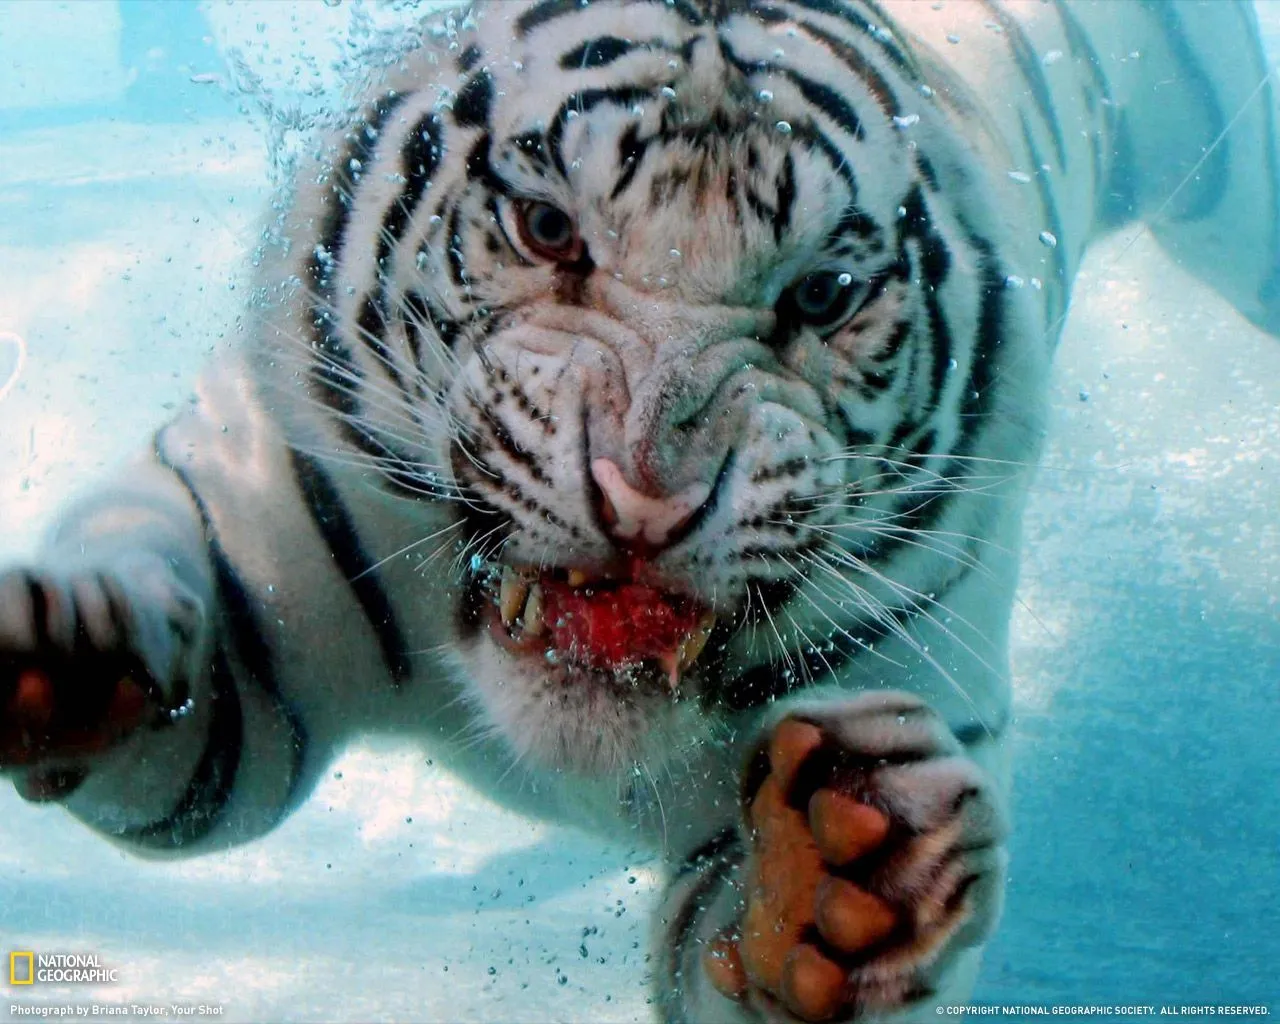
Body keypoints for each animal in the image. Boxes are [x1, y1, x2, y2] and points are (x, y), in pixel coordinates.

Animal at [2, 0, 1277, 1020]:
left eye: (823, 295)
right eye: (546, 228)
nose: (646, 492)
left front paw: (840, 883)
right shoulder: (262, 548)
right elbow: (174, 686)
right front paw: (70, 646)